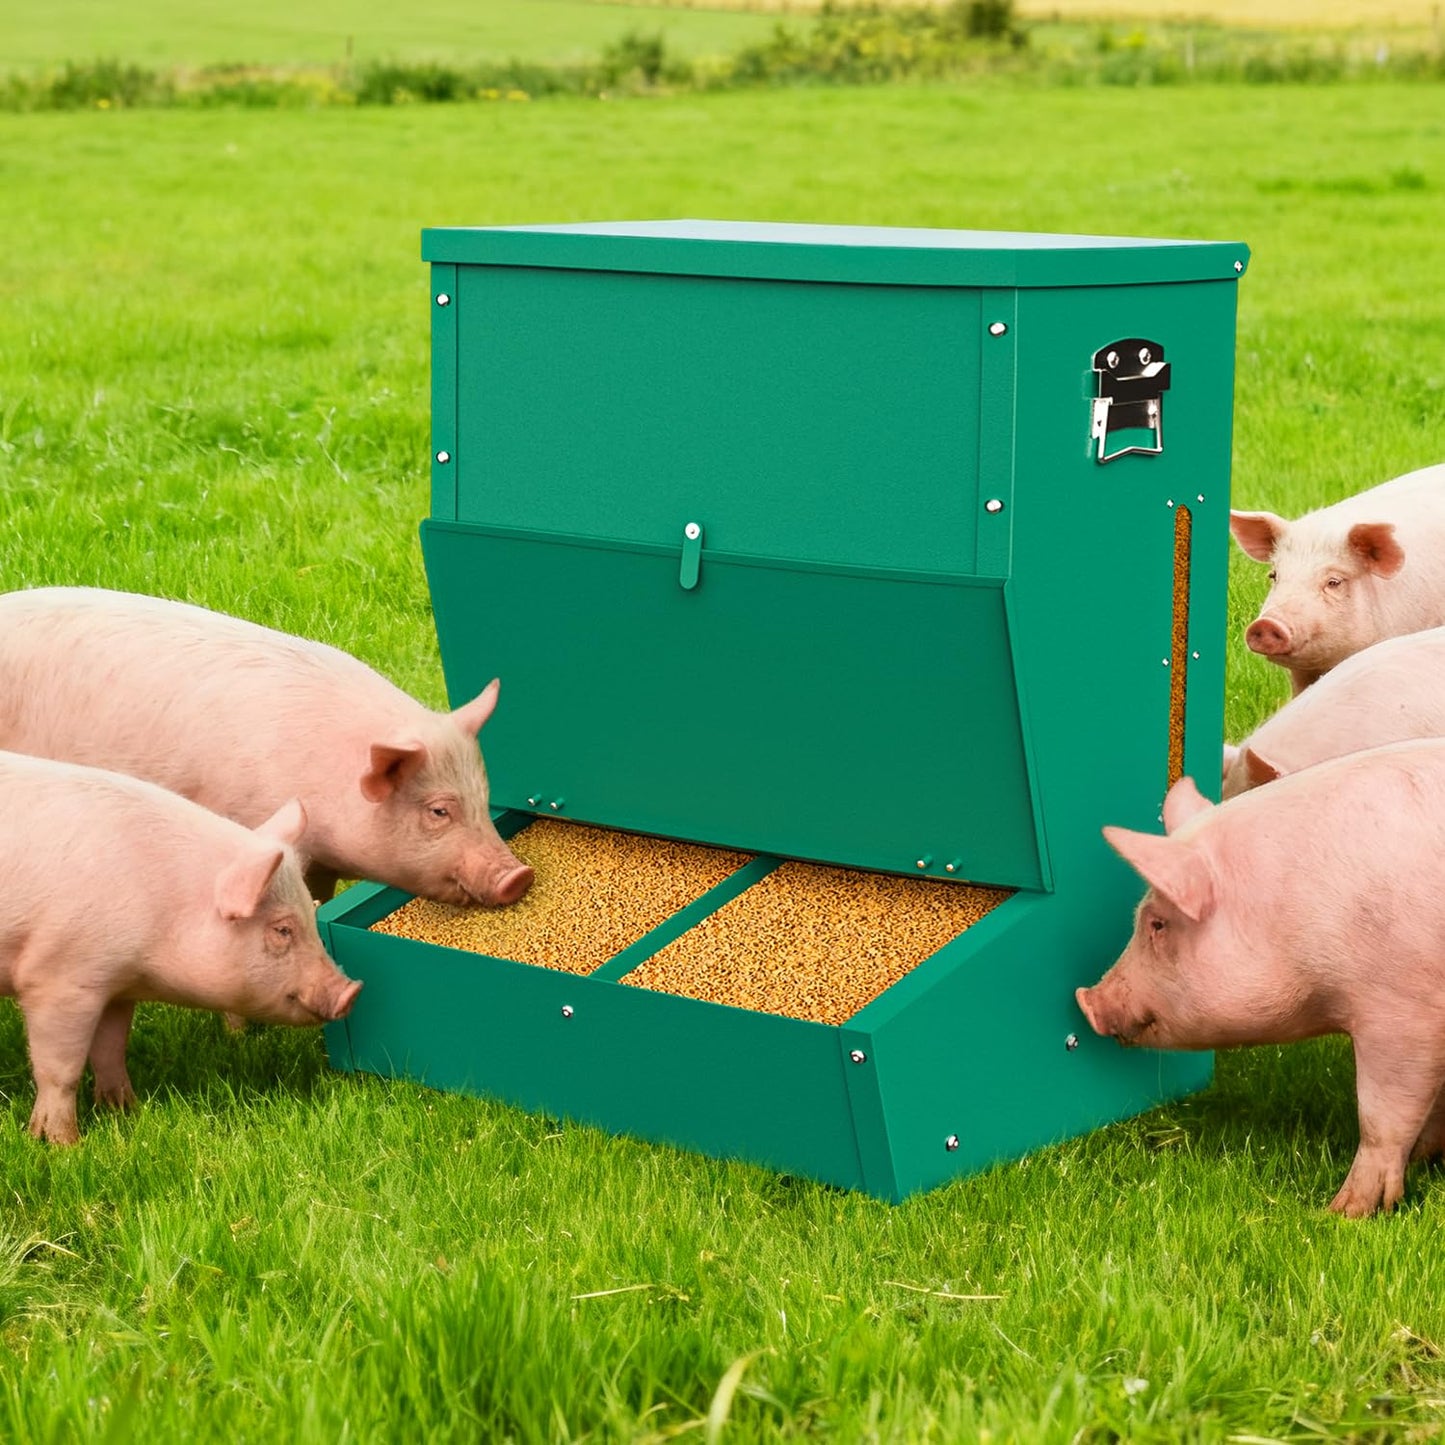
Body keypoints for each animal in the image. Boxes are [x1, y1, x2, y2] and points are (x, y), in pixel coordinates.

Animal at [0, 750, 360, 1144]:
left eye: (312, 912)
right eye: (282, 929)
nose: (351, 990)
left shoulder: (117, 986)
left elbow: (111, 1049)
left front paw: (126, 1112)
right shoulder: (57, 979)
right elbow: (60, 1070)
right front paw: (63, 1145)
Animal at [1076, 740, 1445, 1217]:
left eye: (1157, 923)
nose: (1086, 999)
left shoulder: (1403, 1012)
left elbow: (1381, 1116)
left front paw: (1343, 1213)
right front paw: (1424, 1158)